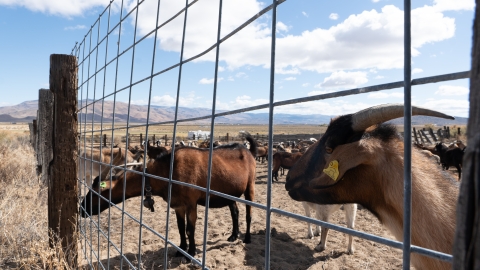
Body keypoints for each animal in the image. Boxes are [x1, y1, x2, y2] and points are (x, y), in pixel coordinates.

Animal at [80, 134, 258, 258]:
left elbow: (190, 229)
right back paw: (233, 235)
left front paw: (191, 253)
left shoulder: (191, 203)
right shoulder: (178, 205)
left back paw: (247, 238)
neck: (167, 172)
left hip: (250, 186)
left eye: (96, 192)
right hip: (230, 193)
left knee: (249, 213)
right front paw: (181, 250)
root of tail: (248, 151)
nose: (82, 209)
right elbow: (180, 228)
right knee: (235, 212)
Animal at [286, 104, 460, 270]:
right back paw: (349, 249)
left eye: (329, 148)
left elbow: (311, 219)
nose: (288, 179)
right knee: (351, 226)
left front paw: (312, 236)